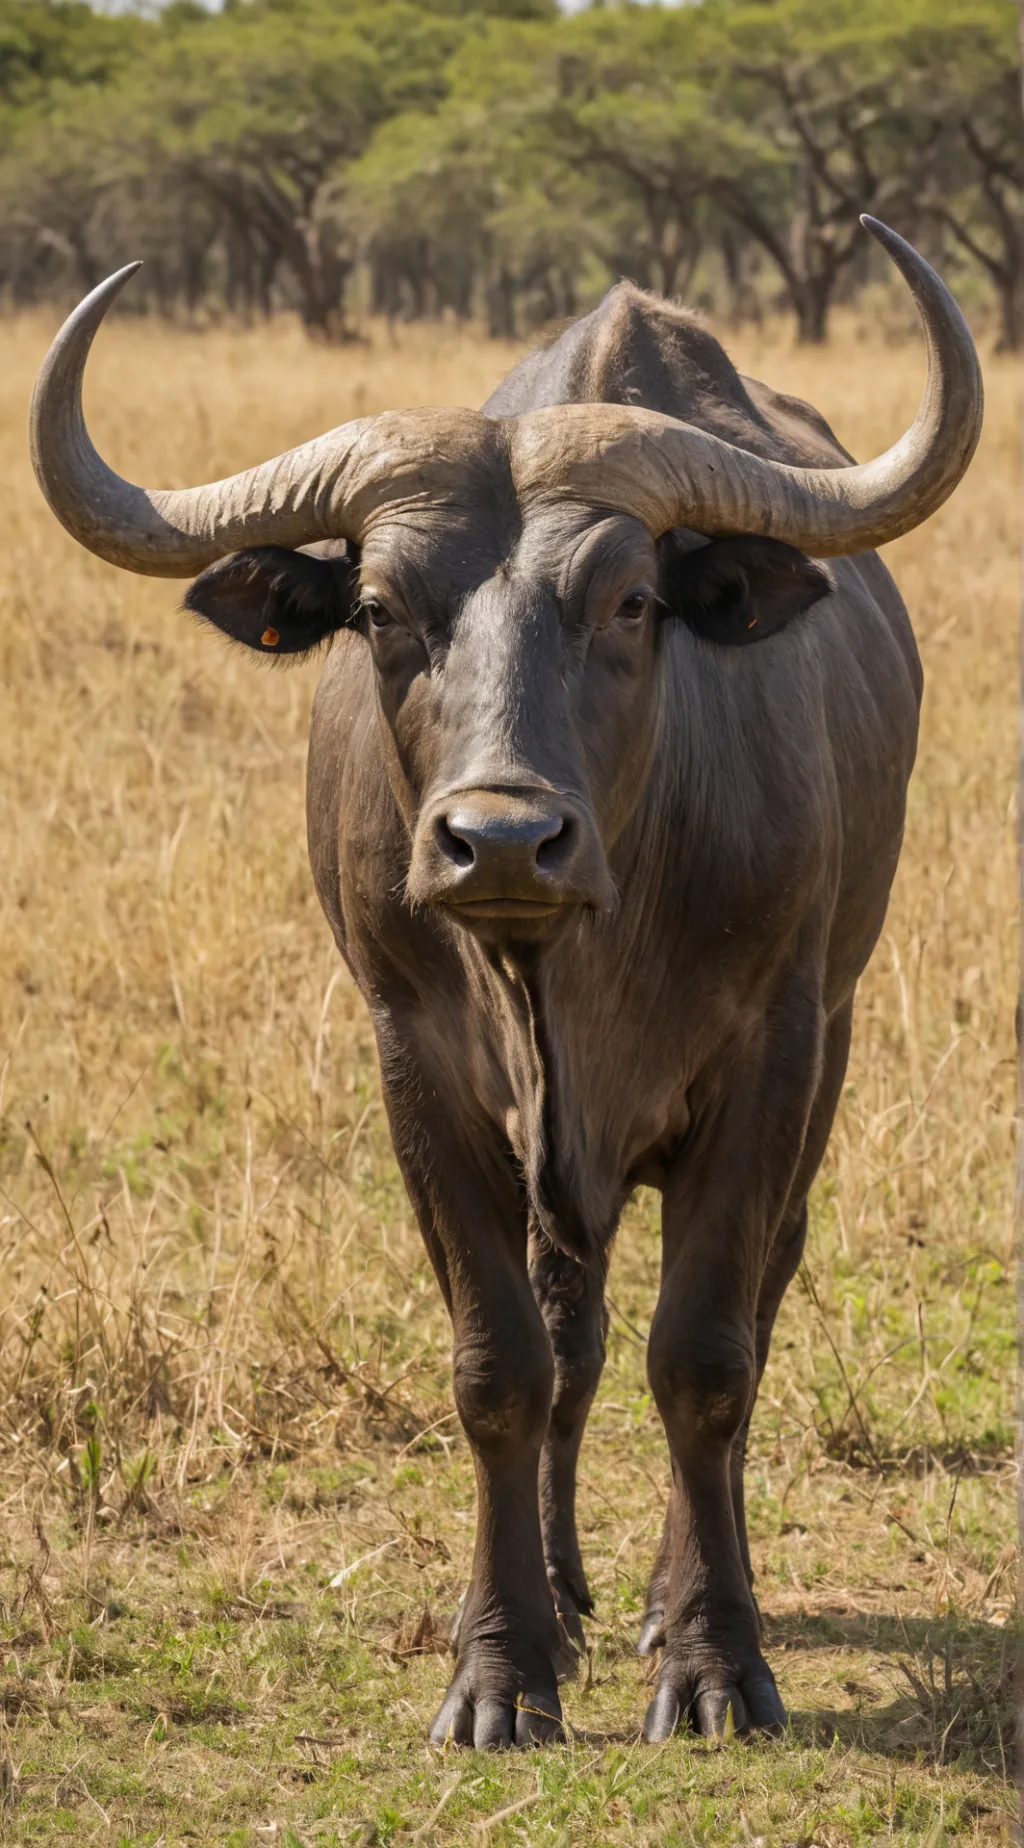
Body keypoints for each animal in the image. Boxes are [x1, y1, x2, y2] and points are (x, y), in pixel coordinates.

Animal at [31, 218, 981, 1749]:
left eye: (632, 600)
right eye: (375, 608)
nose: (502, 839)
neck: (568, 960)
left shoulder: (773, 1057)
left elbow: (707, 1355)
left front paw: (711, 1657)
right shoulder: (419, 1069)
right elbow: (504, 1366)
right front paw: (501, 1666)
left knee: (748, 1302)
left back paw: (653, 1594)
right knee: (570, 1334)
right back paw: (569, 1587)